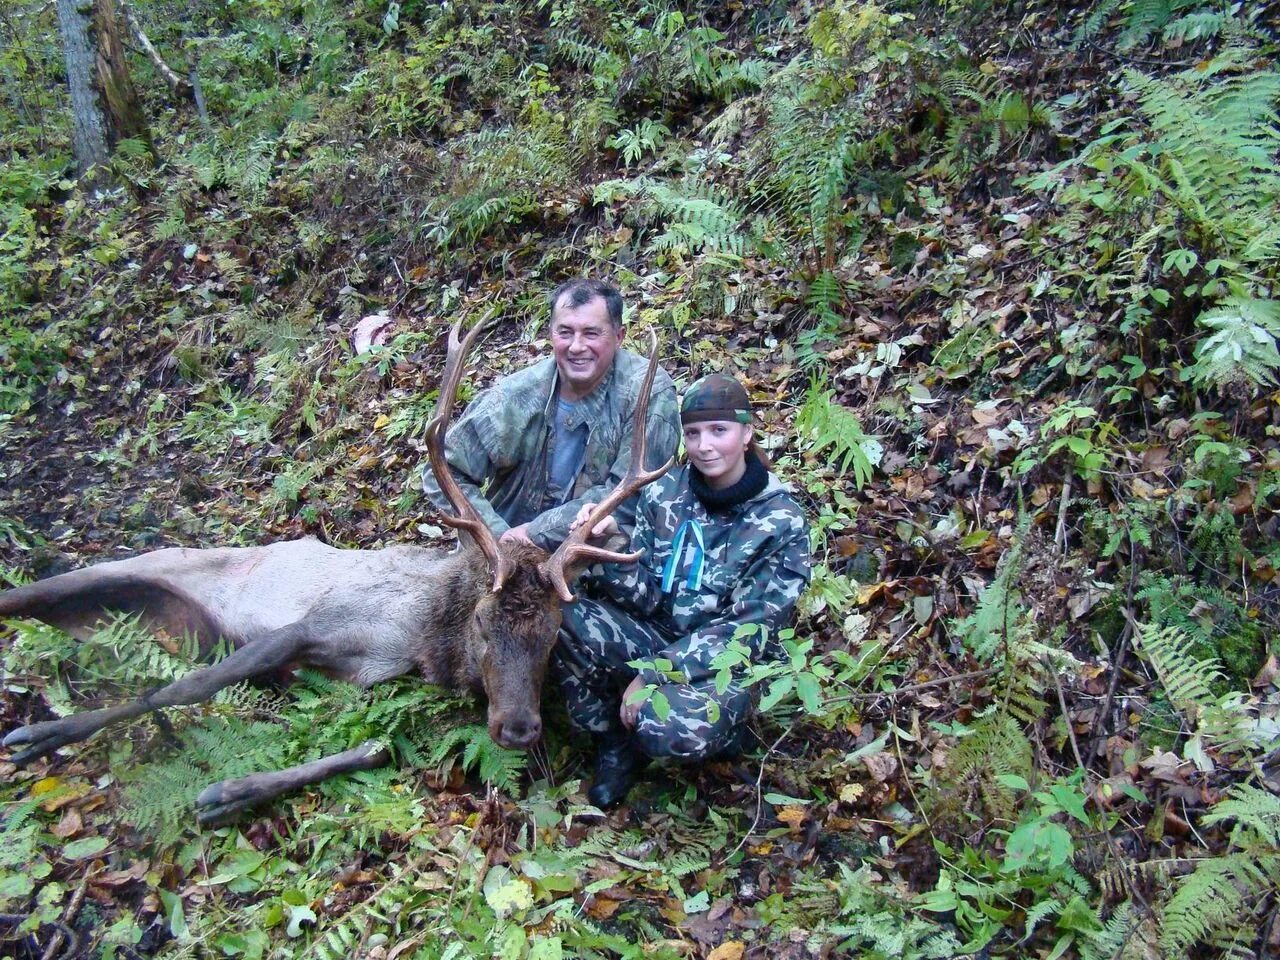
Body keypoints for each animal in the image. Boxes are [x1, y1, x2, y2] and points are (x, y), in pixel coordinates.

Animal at [0, 321, 675, 829]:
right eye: (485, 626)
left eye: (553, 634)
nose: (517, 728)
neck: (424, 634)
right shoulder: (311, 623)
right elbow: (186, 688)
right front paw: (43, 736)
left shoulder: (372, 680)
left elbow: (371, 749)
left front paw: (230, 793)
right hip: (133, 567)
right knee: (33, 592)